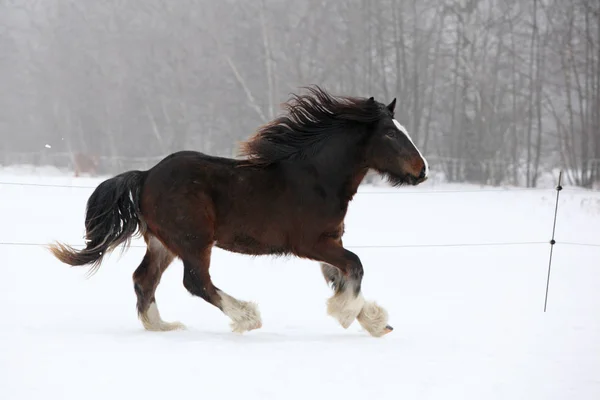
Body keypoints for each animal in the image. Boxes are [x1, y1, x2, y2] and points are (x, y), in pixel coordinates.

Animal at [49, 85, 428, 338]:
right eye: (391, 134)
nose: (422, 170)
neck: (316, 177)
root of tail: (145, 176)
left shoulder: (328, 242)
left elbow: (343, 276)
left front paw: (376, 322)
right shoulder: (310, 243)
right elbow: (355, 267)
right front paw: (348, 315)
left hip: (163, 243)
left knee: (144, 279)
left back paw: (163, 326)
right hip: (193, 240)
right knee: (196, 281)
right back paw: (247, 317)